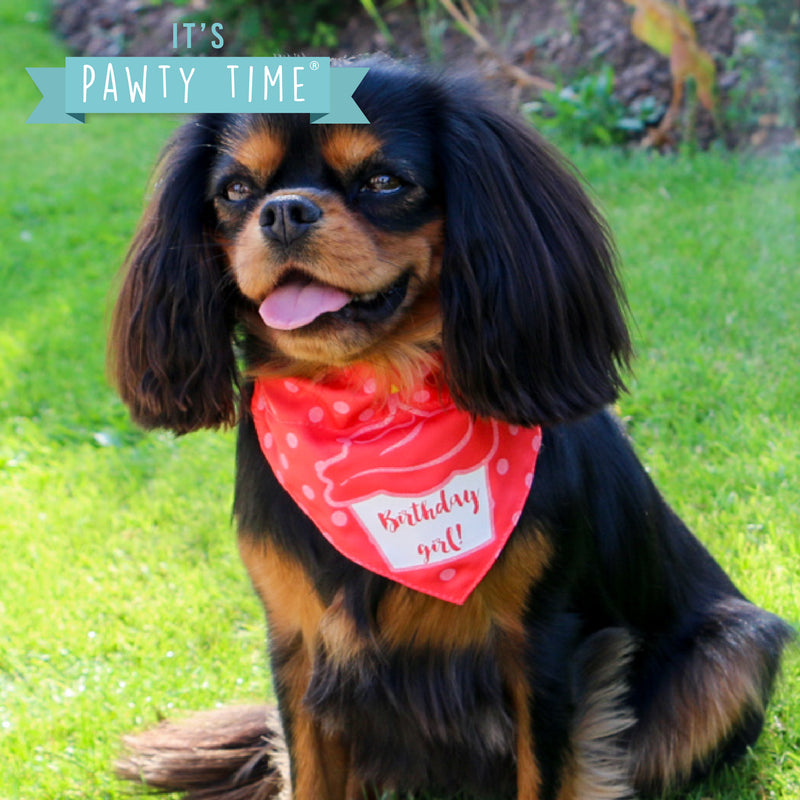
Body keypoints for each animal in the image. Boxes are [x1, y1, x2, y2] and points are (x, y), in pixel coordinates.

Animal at [109, 57, 792, 800]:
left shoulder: (544, 646)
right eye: (235, 190)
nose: (285, 209)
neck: (371, 405)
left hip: (731, 656)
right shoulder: (297, 646)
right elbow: (308, 772)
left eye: (384, 181)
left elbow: (546, 776)